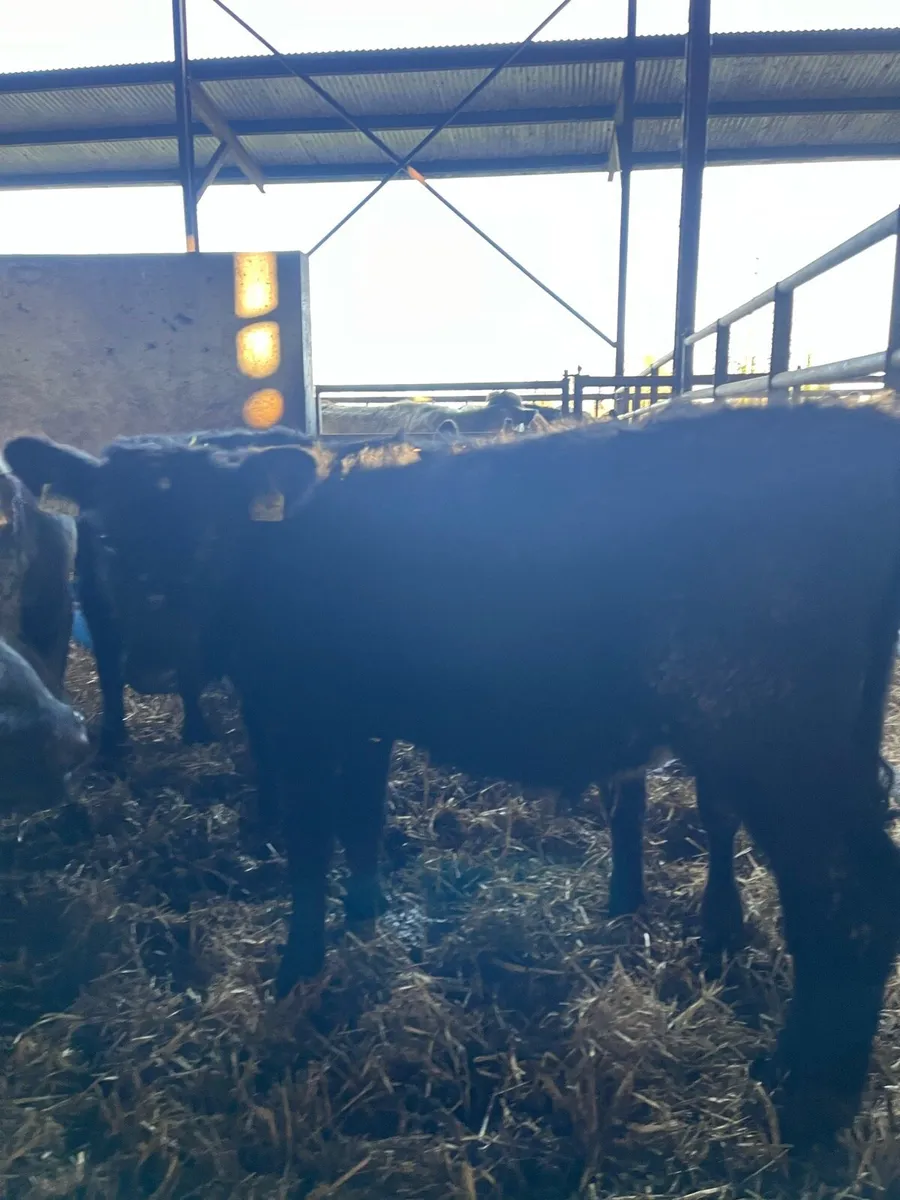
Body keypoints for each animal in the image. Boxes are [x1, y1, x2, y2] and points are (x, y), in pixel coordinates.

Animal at [11, 403, 900, 1145]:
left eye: (211, 539)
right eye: (106, 537)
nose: (157, 664)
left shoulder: (303, 714)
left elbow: (309, 844)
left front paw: (297, 972)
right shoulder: (362, 714)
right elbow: (362, 819)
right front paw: (366, 921)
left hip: (770, 734)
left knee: (848, 898)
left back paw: (809, 1094)